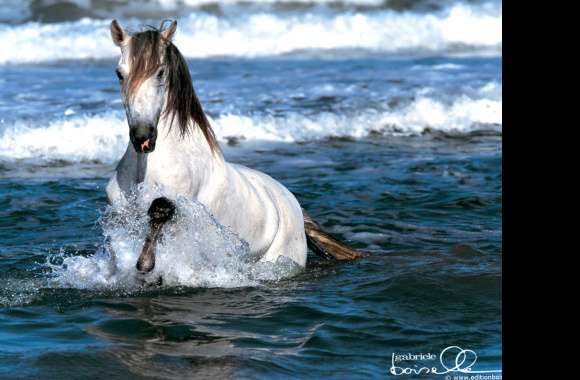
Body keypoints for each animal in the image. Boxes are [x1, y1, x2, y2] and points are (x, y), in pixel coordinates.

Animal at [106, 20, 362, 274]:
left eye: (160, 72)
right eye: (119, 74)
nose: (143, 137)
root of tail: (293, 203)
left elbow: (160, 210)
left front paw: (146, 264)